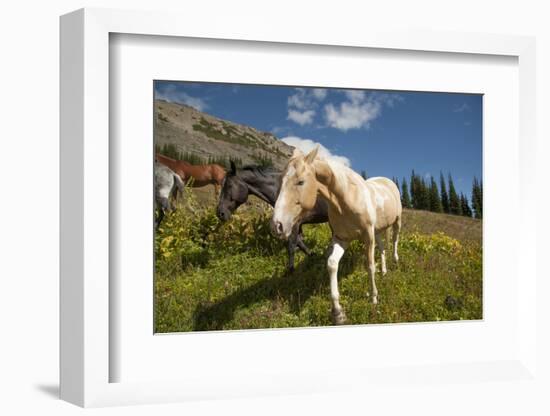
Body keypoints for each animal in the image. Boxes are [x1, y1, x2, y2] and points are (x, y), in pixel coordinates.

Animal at [274, 147, 404, 324]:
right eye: (281, 180)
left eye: (300, 182)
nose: (277, 225)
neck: (347, 199)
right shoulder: (342, 239)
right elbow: (332, 264)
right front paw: (338, 313)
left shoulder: (367, 237)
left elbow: (370, 266)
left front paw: (374, 299)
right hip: (377, 231)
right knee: (383, 248)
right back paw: (384, 271)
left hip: (397, 221)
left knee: (395, 239)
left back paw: (395, 261)